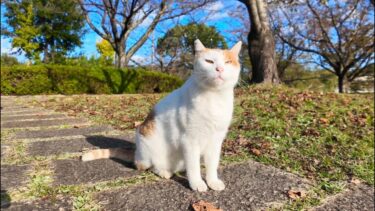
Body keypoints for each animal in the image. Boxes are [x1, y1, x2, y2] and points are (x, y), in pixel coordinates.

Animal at [81, 38, 242, 192]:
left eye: (228, 62)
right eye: (209, 61)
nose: (219, 68)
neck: (214, 98)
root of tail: (136, 153)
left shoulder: (215, 140)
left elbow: (212, 164)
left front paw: (212, 181)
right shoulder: (190, 140)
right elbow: (194, 167)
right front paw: (197, 183)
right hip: (148, 149)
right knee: (148, 166)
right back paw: (164, 172)